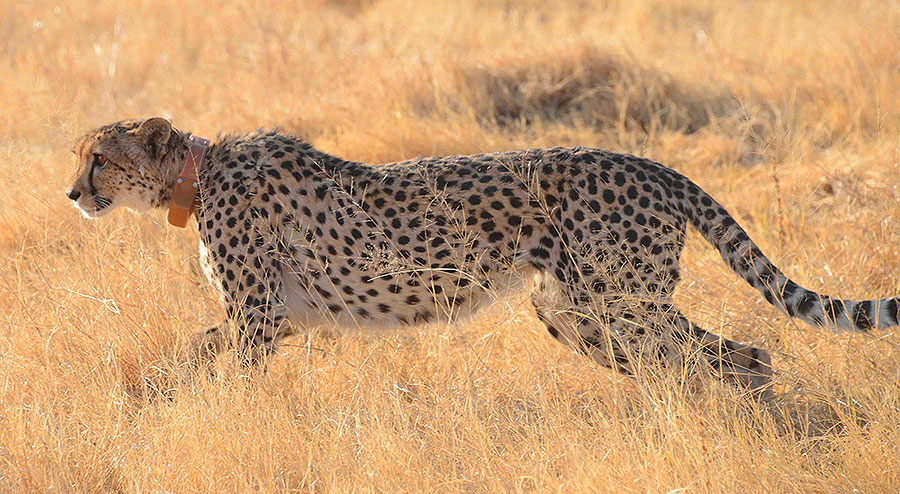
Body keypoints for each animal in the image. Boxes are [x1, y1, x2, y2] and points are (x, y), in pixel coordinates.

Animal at [66, 117, 900, 395]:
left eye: (99, 158)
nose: (72, 192)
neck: (194, 174)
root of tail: (644, 163)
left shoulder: (260, 315)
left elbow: (215, 364)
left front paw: (206, 411)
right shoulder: (287, 318)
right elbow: (191, 351)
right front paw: (151, 394)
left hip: (620, 302)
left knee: (735, 357)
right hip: (569, 309)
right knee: (708, 362)